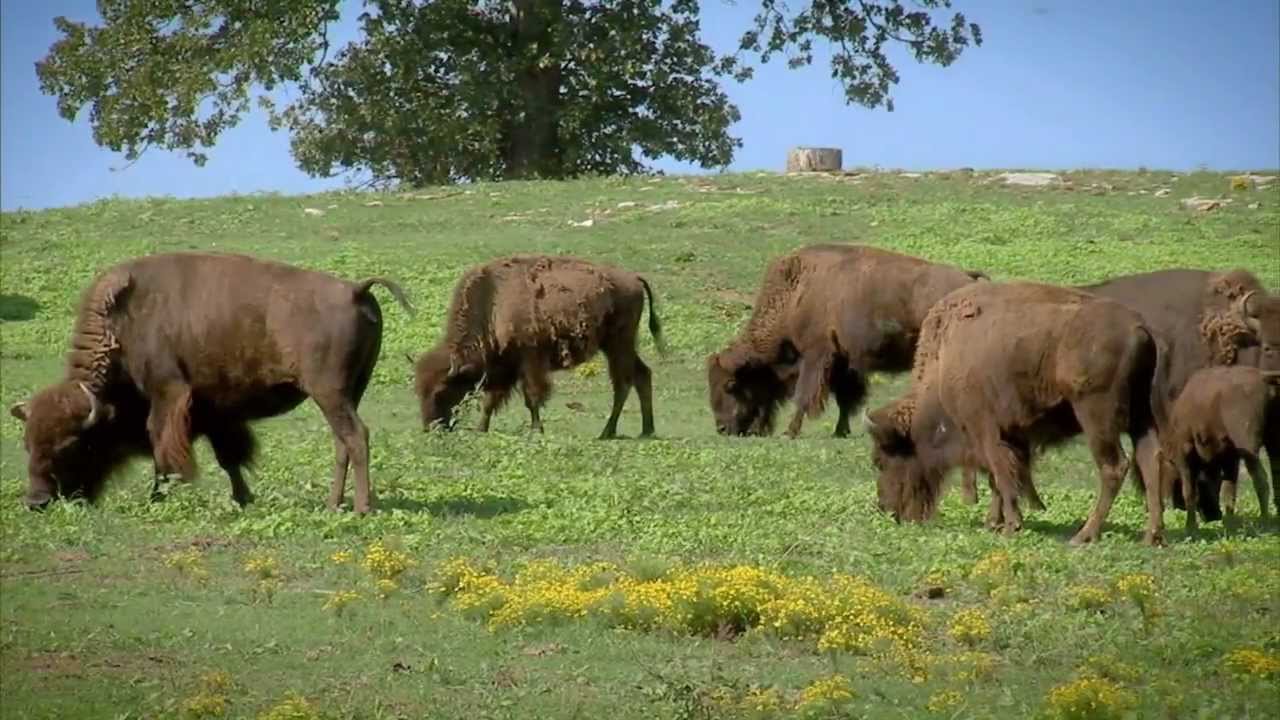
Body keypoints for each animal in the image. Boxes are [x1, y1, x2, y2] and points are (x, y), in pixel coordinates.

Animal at [9, 252, 413, 514]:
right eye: (27, 444)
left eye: (70, 446)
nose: (36, 502)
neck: (121, 324)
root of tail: (356, 290)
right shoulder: (216, 412)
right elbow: (228, 457)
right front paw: (243, 499)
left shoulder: (167, 394)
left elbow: (162, 445)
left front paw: (158, 497)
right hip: (351, 391)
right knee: (342, 441)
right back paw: (333, 504)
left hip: (329, 392)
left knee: (356, 436)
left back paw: (361, 508)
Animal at [413, 254, 664, 438]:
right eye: (419, 390)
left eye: (440, 391)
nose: (430, 428)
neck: (493, 302)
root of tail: (634, 278)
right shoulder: (504, 367)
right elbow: (490, 400)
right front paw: (480, 429)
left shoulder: (530, 361)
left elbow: (531, 397)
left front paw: (536, 430)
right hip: (619, 345)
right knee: (642, 375)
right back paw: (646, 430)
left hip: (618, 344)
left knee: (623, 383)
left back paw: (607, 432)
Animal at [865, 281, 1166, 545]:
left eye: (882, 460)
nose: (888, 509)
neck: (946, 360)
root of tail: (1139, 328)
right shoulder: (1012, 434)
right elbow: (1002, 475)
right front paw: (994, 522)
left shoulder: (984, 429)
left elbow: (1001, 473)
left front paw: (1011, 525)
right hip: (1141, 415)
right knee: (1150, 459)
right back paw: (1152, 536)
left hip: (1096, 416)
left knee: (1114, 467)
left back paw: (1084, 535)